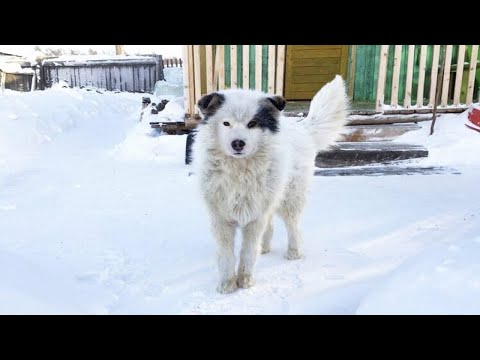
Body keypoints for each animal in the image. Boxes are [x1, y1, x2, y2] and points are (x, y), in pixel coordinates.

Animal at [192, 75, 348, 292]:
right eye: (226, 123)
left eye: (252, 123)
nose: (238, 143)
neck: (240, 171)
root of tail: (301, 126)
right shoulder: (222, 218)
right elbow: (226, 255)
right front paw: (227, 285)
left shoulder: (254, 217)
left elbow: (248, 252)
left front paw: (245, 281)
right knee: (271, 224)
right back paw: (265, 247)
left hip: (289, 197)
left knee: (293, 226)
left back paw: (293, 252)